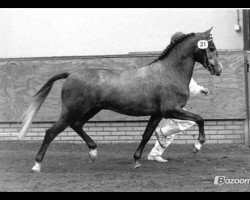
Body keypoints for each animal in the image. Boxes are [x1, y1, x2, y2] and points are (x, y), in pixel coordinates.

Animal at [18, 27, 224, 173]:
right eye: (211, 47)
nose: (219, 69)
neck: (169, 71)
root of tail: (70, 74)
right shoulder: (171, 110)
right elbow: (199, 118)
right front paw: (197, 146)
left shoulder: (157, 114)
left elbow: (147, 134)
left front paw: (137, 160)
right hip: (72, 110)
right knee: (51, 131)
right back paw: (37, 165)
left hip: (91, 109)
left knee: (77, 125)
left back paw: (93, 152)